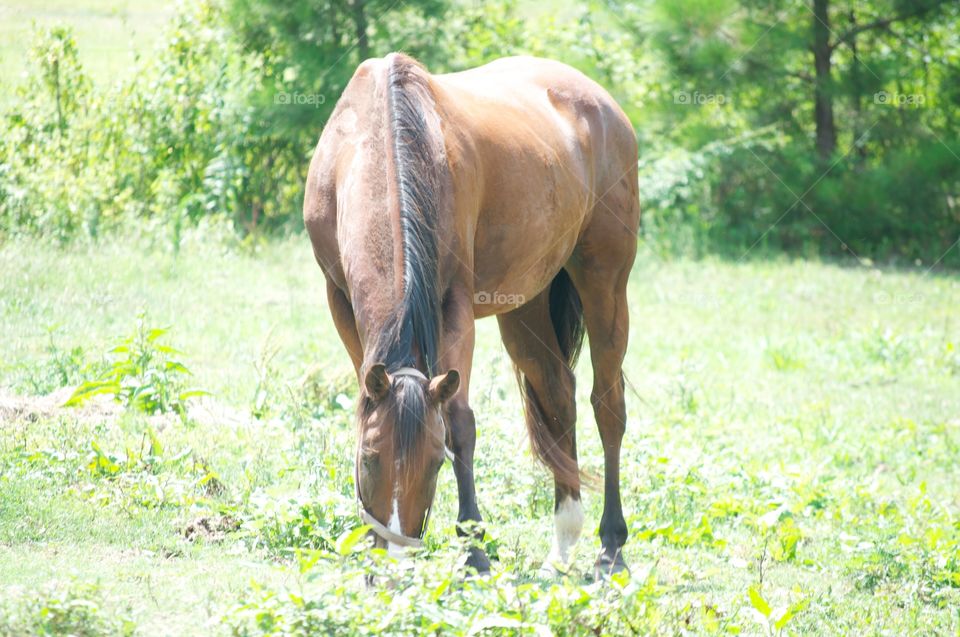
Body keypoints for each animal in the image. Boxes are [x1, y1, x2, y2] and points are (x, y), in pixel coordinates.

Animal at [304, 52, 640, 572]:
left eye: (435, 460)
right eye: (369, 457)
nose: (394, 556)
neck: (382, 141)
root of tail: (602, 103)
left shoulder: (454, 305)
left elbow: (461, 422)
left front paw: (475, 549)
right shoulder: (339, 299)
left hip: (605, 283)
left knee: (607, 407)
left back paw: (610, 546)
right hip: (525, 306)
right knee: (558, 395)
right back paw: (562, 543)